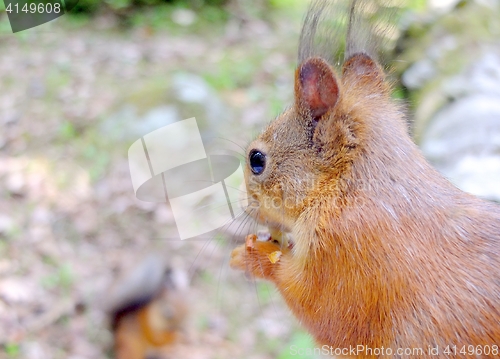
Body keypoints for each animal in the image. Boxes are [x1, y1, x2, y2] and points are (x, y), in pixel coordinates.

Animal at [229, 0, 500, 358]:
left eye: (256, 161)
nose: (246, 206)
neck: (346, 190)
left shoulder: (346, 252)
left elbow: (323, 312)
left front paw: (254, 256)